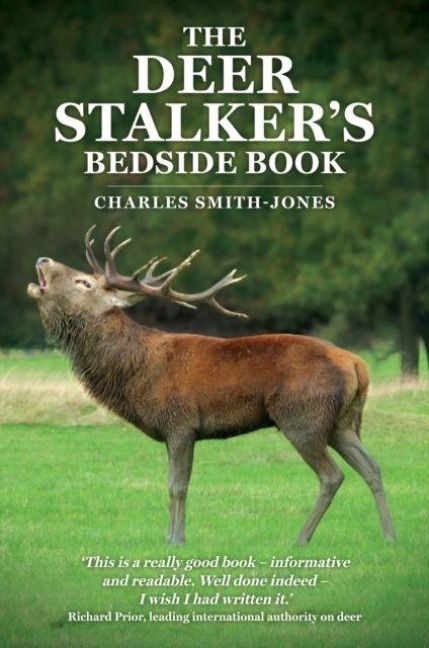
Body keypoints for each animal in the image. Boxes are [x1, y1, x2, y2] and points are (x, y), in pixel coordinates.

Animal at [27, 226, 396, 545]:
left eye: (84, 282)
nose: (42, 259)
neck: (135, 373)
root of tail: (358, 364)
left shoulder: (180, 422)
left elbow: (177, 485)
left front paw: (176, 540)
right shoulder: (172, 430)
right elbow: (170, 483)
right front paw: (170, 537)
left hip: (303, 417)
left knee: (332, 476)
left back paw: (301, 539)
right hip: (342, 422)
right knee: (373, 467)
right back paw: (390, 536)